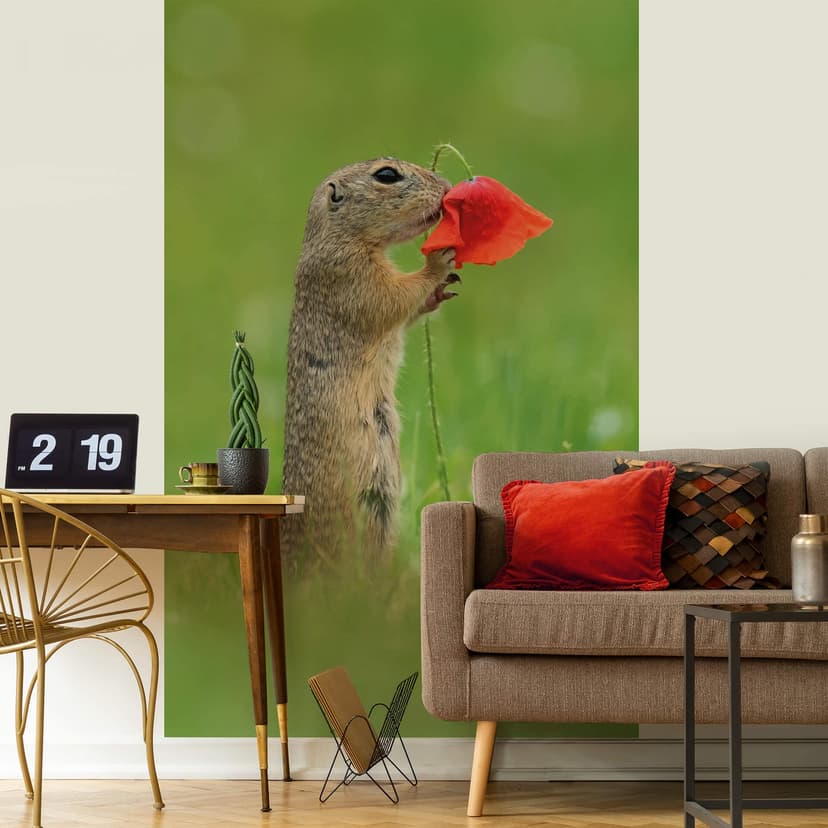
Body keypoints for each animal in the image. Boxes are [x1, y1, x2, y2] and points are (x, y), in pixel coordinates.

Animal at [281, 158, 457, 569]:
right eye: (387, 175)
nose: (446, 186)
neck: (340, 237)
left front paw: (441, 290)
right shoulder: (350, 275)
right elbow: (392, 297)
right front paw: (438, 261)